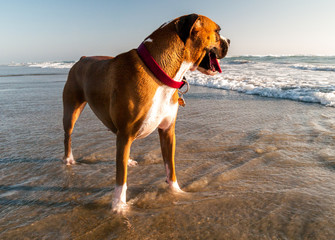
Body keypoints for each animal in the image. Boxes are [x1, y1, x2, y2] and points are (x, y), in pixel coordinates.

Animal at [62, 13, 231, 212]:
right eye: (217, 31)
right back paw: (69, 159)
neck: (158, 73)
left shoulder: (167, 132)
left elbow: (170, 167)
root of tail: (82, 58)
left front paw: (176, 192)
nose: (229, 40)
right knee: (68, 135)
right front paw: (118, 206)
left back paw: (127, 160)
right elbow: (121, 179)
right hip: (71, 110)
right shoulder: (126, 132)